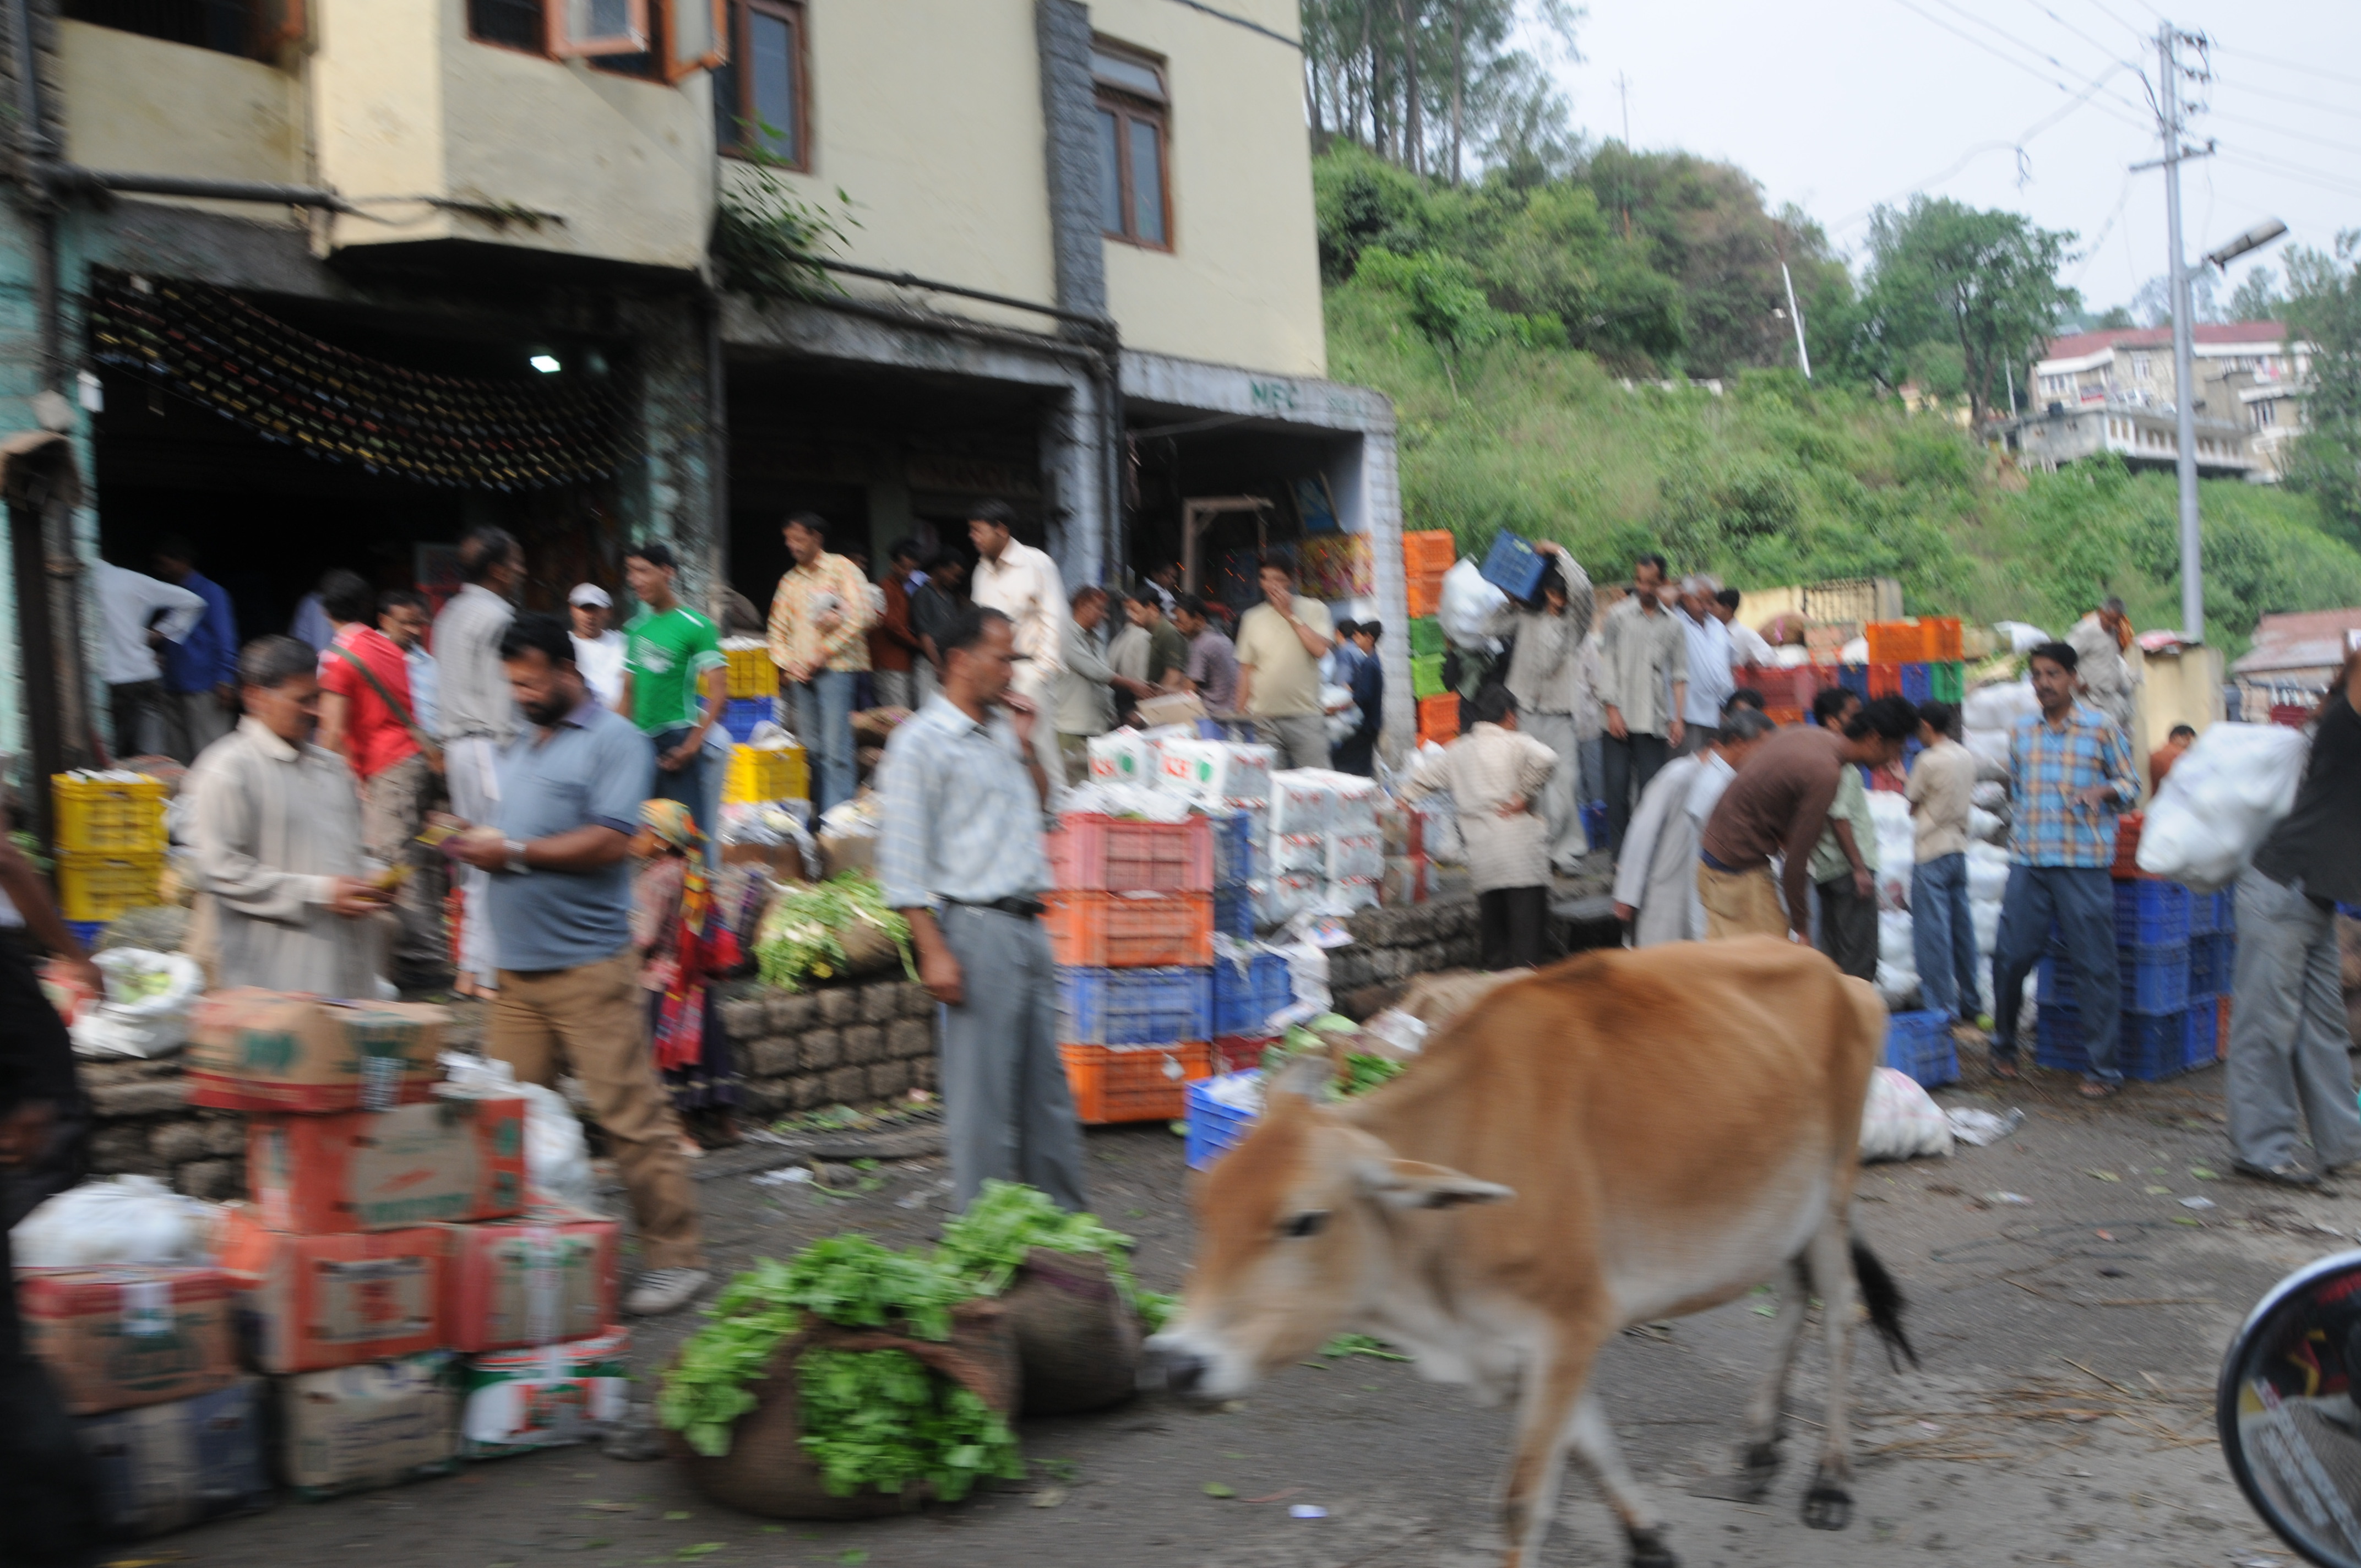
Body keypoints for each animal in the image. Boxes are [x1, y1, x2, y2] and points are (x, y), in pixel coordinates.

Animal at [1147, 935, 1917, 1558]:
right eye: (1204, 1205)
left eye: (1305, 1220)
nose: (1178, 1364)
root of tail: (1839, 975)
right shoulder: (1532, 1347)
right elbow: (1590, 1447)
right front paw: (1649, 1540)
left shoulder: (1569, 1324)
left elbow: (1522, 1502)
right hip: (1779, 1215)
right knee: (1793, 1298)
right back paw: (1760, 1446)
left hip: (1832, 1195)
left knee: (1842, 1318)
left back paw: (1830, 1480)